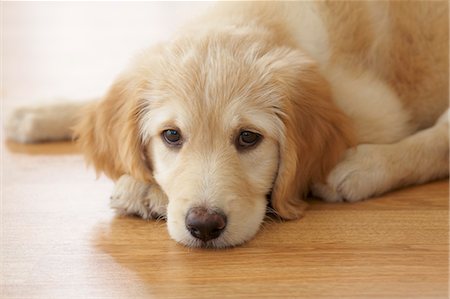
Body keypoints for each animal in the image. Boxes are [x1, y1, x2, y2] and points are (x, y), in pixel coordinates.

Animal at [5, 1, 448, 248]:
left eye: (249, 138)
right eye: (171, 135)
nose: (204, 227)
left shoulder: (378, 111)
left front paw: (141, 189)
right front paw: (39, 113)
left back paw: (361, 169)